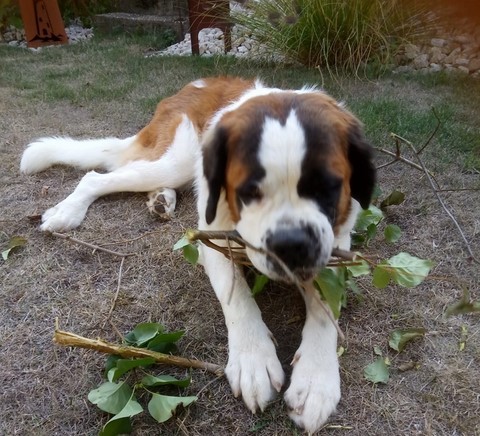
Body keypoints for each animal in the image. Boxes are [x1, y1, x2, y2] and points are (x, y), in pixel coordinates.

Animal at [20, 76, 375, 433]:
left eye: (328, 187)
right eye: (249, 191)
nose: (290, 244)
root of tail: (196, 84)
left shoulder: (335, 247)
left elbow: (326, 308)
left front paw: (316, 378)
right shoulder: (211, 239)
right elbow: (237, 297)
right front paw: (253, 359)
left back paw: (160, 199)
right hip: (176, 158)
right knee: (98, 177)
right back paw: (69, 210)